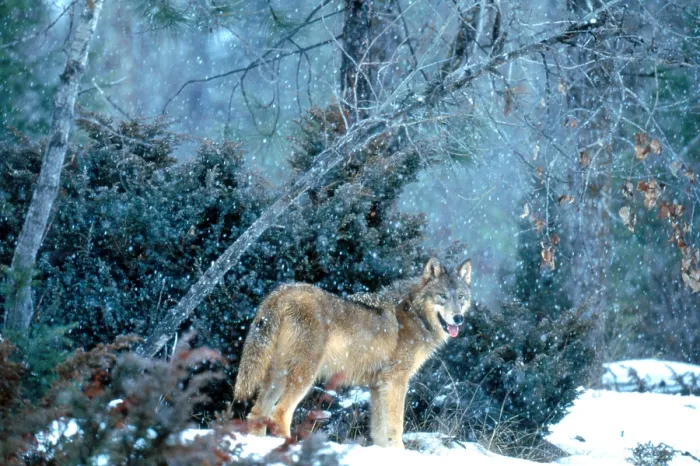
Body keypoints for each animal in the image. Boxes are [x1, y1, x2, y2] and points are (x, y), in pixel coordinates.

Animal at [233, 256, 472, 448]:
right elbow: (396, 426)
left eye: (460, 297)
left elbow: (379, 432)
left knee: (257, 414)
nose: (458, 318)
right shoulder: (396, 381)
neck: (415, 314)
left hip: (278, 377)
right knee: (279, 414)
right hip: (304, 376)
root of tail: (281, 293)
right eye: (442, 296)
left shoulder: (377, 386)